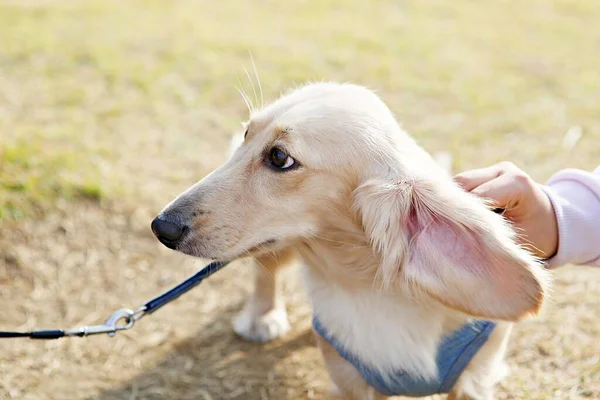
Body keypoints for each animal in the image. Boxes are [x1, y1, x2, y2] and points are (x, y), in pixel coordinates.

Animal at [152, 83, 552, 398]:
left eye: (279, 157)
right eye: (248, 133)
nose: (161, 227)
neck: (366, 284)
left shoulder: (477, 376)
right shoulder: (350, 380)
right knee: (267, 270)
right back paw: (262, 317)